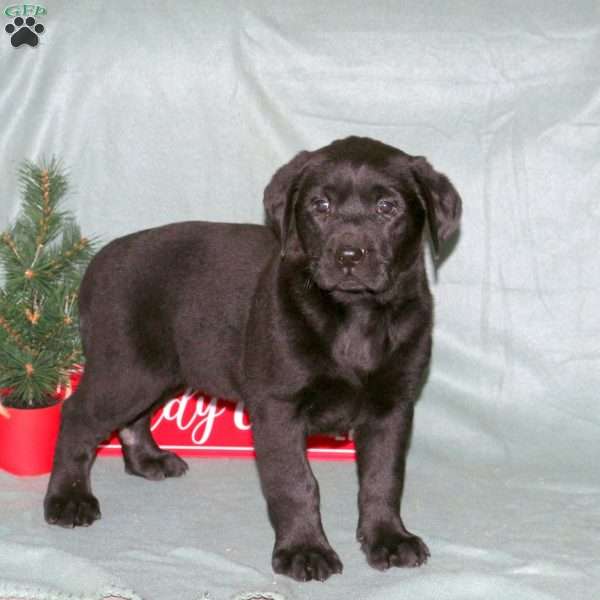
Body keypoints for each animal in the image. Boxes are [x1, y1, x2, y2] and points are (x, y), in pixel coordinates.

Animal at [44, 137, 462, 580]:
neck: (355, 314)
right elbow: (296, 482)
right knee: (78, 415)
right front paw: (304, 550)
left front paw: (389, 538)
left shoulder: (392, 406)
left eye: (388, 207)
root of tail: (96, 262)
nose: (349, 255)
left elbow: (384, 478)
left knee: (133, 417)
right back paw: (68, 499)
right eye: (320, 205)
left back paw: (147, 460)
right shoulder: (278, 407)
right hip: (125, 368)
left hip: (161, 368)